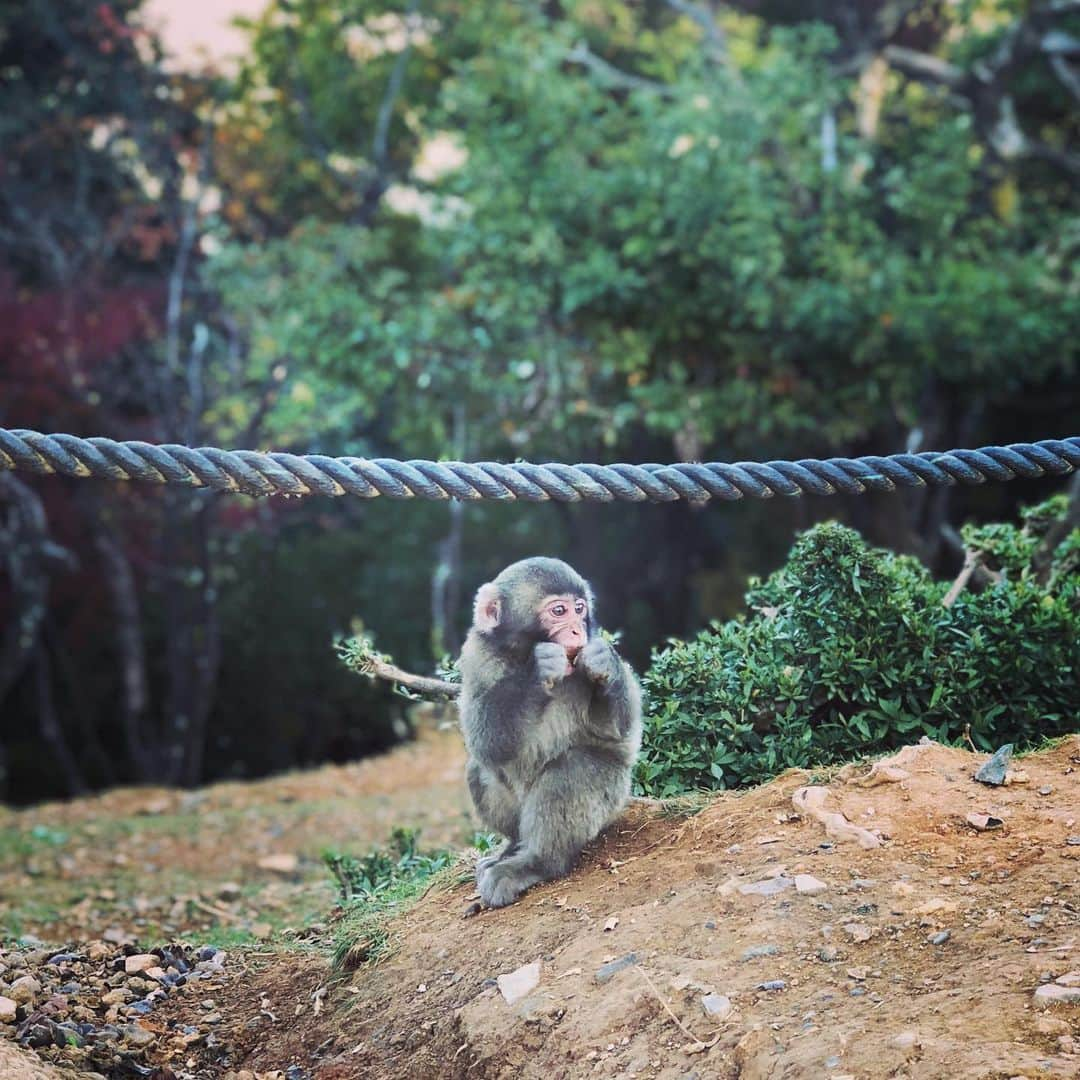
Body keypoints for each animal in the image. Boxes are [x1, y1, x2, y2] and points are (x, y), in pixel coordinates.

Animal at [457, 561, 639, 907]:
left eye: (579, 609)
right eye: (558, 611)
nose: (577, 631)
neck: (520, 653)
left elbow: (616, 729)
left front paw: (605, 663)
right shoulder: (477, 653)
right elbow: (486, 743)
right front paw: (538, 671)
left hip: (612, 798)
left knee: (574, 769)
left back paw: (536, 863)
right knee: (478, 767)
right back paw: (512, 847)